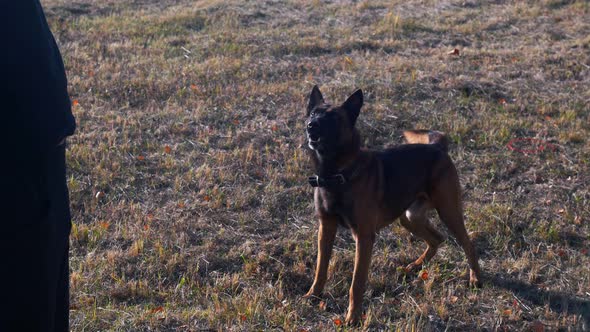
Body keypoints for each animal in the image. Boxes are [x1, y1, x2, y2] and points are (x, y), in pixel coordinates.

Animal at [306, 85, 480, 324]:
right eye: (314, 113)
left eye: (333, 118)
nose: (310, 125)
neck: (337, 173)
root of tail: (437, 147)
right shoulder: (326, 229)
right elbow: (320, 269)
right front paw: (313, 295)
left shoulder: (364, 237)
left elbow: (357, 283)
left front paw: (353, 317)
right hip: (409, 217)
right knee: (437, 238)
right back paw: (416, 265)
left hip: (448, 212)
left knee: (467, 243)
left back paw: (474, 278)